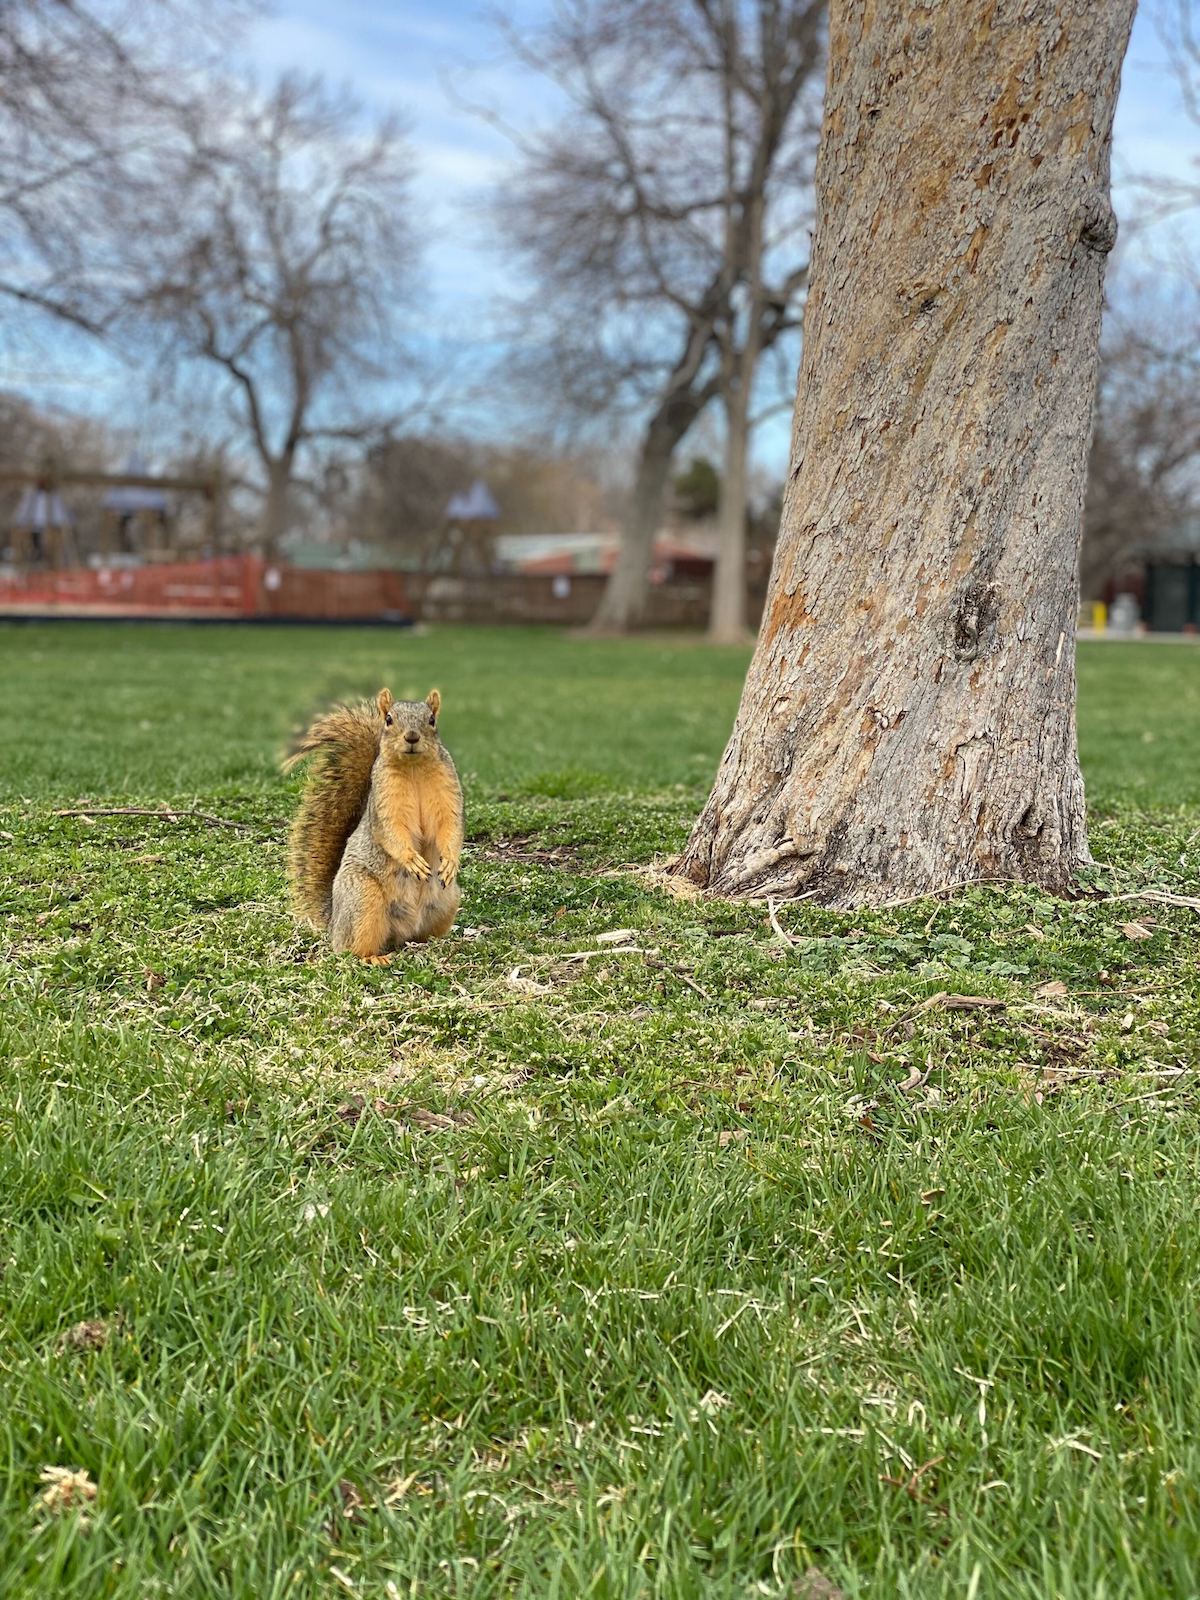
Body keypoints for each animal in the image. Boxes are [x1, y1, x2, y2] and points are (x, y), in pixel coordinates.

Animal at [284, 688, 464, 960]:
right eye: (389, 719)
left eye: (432, 720)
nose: (412, 737)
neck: (414, 769)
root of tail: (334, 923)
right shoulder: (384, 804)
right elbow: (391, 832)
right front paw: (412, 861)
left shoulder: (448, 793)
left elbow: (451, 827)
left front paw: (450, 862)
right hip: (363, 900)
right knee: (351, 948)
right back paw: (372, 958)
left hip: (446, 901)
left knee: (417, 935)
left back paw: (432, 943)